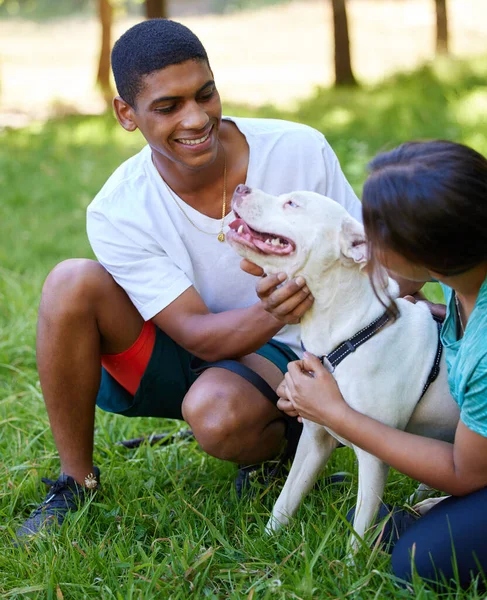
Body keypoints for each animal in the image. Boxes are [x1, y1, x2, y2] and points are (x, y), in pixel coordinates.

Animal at [227, 185, 460, 552]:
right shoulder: (314, 439)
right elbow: (285, 500)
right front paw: (263, 546)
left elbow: (360, 530)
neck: (346, 333)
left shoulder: (374, 455)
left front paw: (351, 565)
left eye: (292, 203)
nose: (240, 187)